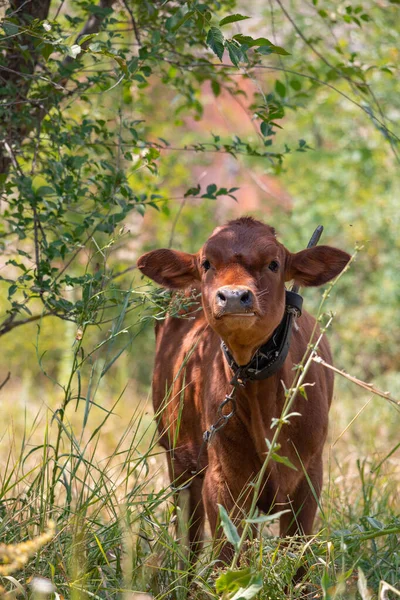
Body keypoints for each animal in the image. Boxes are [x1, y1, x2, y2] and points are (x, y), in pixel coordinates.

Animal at [138, 217, 350, 564]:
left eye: (274, 264)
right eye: (207, 263)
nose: (235, 296)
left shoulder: (308, 477)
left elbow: (299, 558)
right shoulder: (223, 482)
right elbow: (229, 556)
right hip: (177, 461)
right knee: (190, 540)